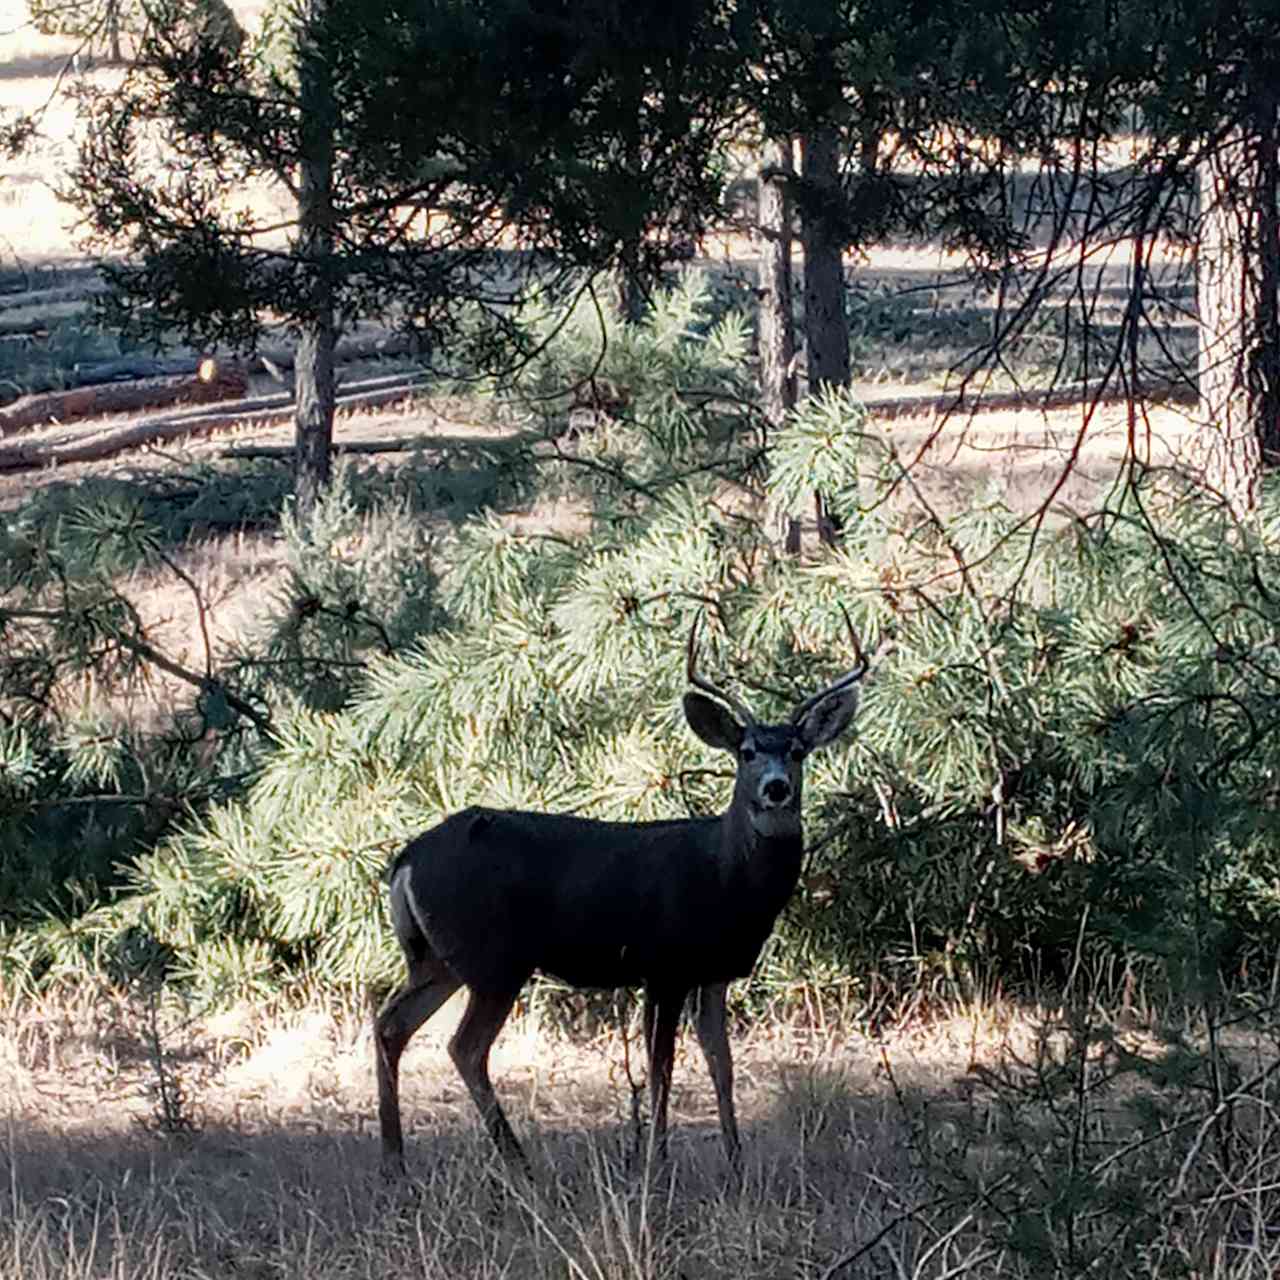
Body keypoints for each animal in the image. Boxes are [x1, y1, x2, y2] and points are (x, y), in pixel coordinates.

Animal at [371, 624, 870, 1172]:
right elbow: (662, 1069)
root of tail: (405, 861)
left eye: (798, 751)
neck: (725, 875)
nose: (776, 788)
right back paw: (518, 1165)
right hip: (493, 958)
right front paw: (659, 1160)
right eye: (747, 751)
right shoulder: (666, 965)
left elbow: (722, 1063)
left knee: (391, 1025)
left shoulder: (713, 972)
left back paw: (395, 1162)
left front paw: (736, 1162)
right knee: (464, 1047)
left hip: (436, 959)